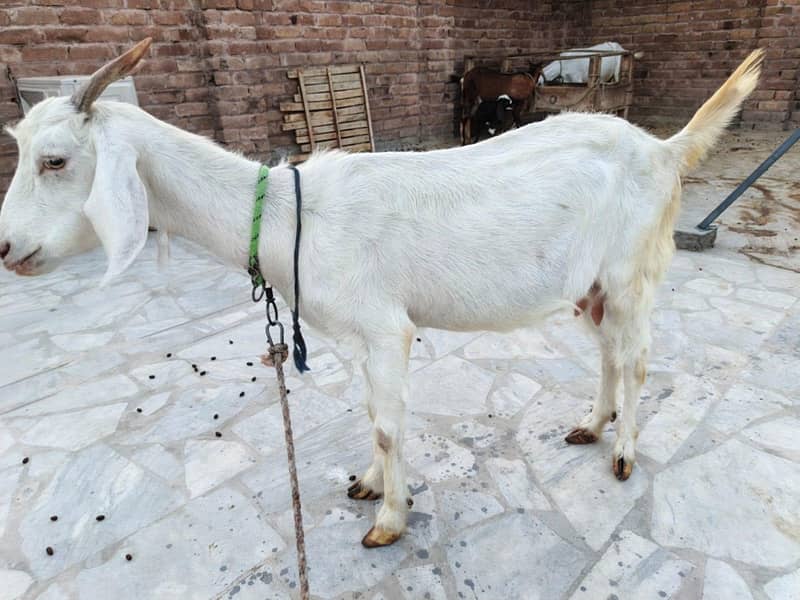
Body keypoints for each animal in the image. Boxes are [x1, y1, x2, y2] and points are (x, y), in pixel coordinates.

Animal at [0, 39, 764, 548]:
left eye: (55, 161)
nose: (7, 250)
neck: (292, 215)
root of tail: (665, 149)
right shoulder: (352, 334)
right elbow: (372, 415)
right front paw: (370, 485)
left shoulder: (385, 328)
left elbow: (390, 424)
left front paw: (389, 521)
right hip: (592, 286)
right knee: (607, 353)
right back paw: (591, 425)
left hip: (634, 272)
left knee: (636, 361)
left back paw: (624, 452)